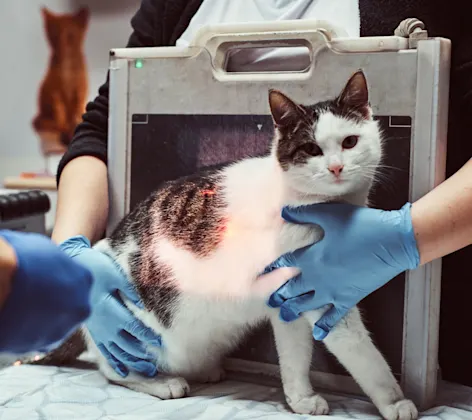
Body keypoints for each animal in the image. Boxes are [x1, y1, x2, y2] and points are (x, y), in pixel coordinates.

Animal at [32, 6, 90, 158]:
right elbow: (60, 110)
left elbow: (76, 109)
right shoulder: (55, 90)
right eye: (54, 34)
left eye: (70, 35)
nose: (62, 42)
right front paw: (63, 124)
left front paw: (74, 121)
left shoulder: (79, 89)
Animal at [33, 70, 416, 418]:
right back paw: (162, 382)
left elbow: (295, 356)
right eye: (311, 148)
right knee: (115, 369)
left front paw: (301, 399)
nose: (336, 168)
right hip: (140, 335)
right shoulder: (321, 300)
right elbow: (364, 355)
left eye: (350, 142)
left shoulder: (290, 300)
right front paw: (395, 402)